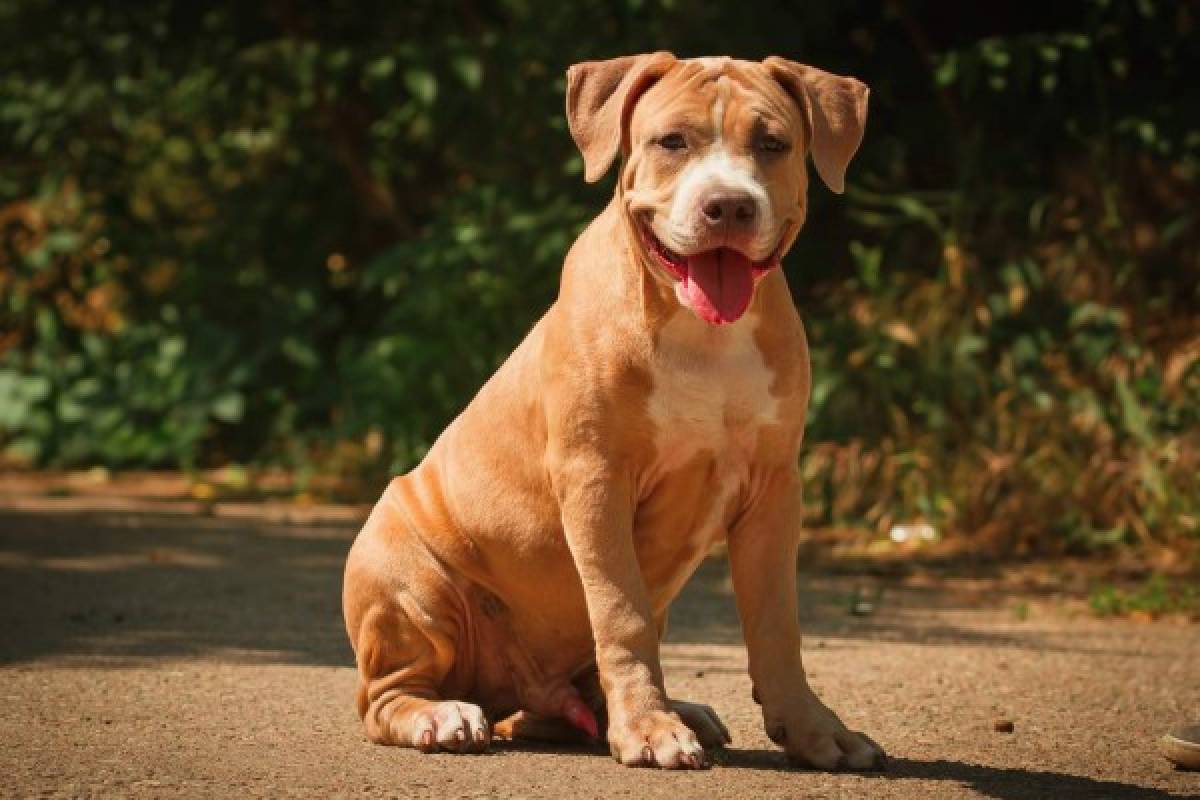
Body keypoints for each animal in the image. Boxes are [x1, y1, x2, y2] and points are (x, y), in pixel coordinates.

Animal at [340, 53, 883, 772]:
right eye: (672, 142)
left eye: (773, 144)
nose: (728, 205)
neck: (701, 334)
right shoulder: (596, 479)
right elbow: (621, 611)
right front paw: (648, 730)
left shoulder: (773, 490)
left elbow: (776, 626)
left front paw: (817, 730)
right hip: (404, 576)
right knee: (383, 698)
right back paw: (441, 714)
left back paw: (662, 709)